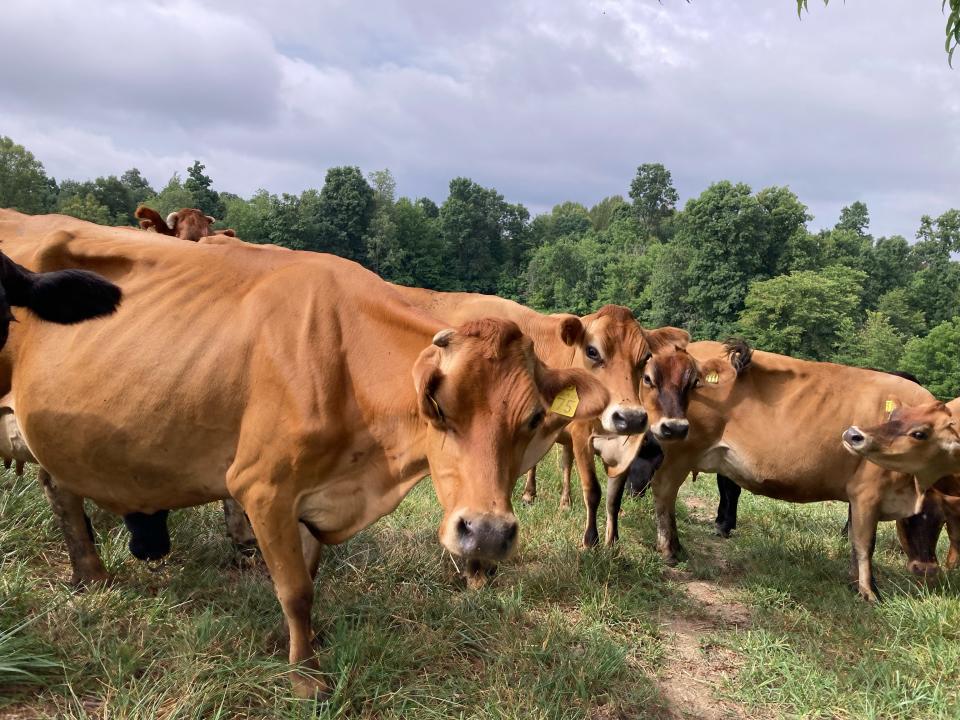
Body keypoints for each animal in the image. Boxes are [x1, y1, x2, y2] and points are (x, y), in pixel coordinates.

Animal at [0, 210, 608, 696]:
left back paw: (90, 576)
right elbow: (295, 589)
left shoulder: (313, 497)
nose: (484, 533)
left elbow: (307, 575)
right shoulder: (261, 486)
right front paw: (306, 679)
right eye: (437, 405)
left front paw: (301, 646)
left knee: (60, 486)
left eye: (532, 419)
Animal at [636, 340, 936, 600]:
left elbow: (854, 537)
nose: (927, 570)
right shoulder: (868, 491)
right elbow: (864, 543)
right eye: (926, 516)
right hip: (679, 452)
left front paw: (856, 583)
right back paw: (670, 549)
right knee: (664, 491)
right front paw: (869, 592)